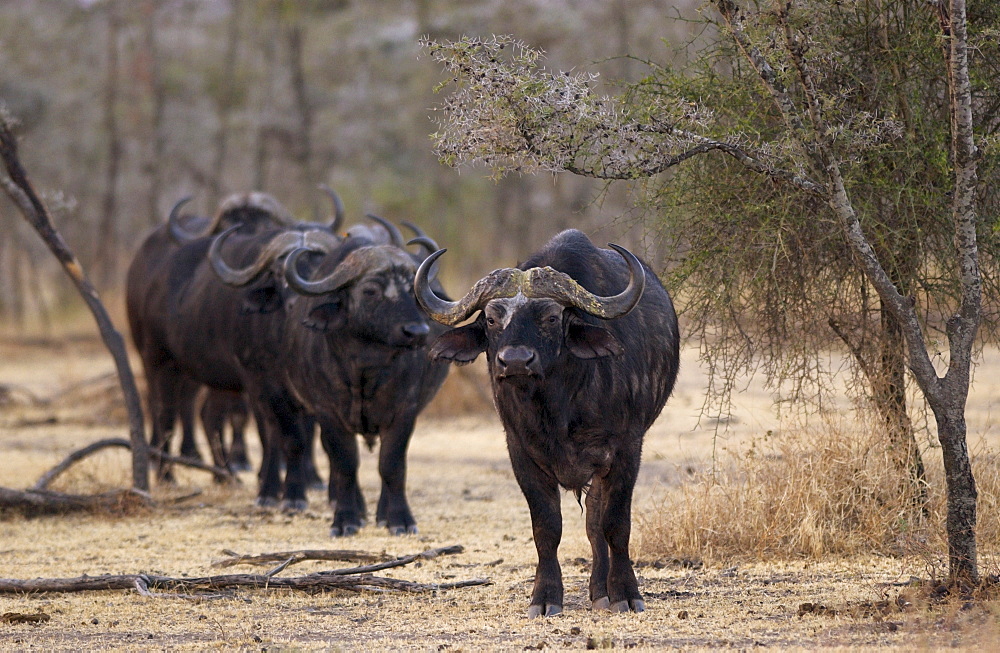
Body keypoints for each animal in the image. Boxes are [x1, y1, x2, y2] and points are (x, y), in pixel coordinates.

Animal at [414, 229, 680, 616]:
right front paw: (545, 597)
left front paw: (625, 593)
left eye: (552, 318)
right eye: (491, 319)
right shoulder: (521, 452)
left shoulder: (626, 450)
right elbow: (546, 528)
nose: (515, 361)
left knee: (596, 522)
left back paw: (602, 590)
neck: (557, 407)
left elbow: (615, 524)